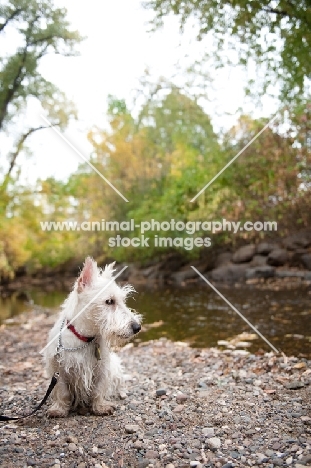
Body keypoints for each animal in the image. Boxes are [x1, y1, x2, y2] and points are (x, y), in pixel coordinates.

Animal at [44, 258, 141, 418]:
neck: (84, 337)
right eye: (109, 301)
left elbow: (98, 390)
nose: (137, 327)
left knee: (119, 383)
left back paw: (121, 393)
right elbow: (62, 392)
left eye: (123, 300)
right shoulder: (58, 369)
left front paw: (100, 407)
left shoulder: (102, 369)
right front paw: (59, 409)